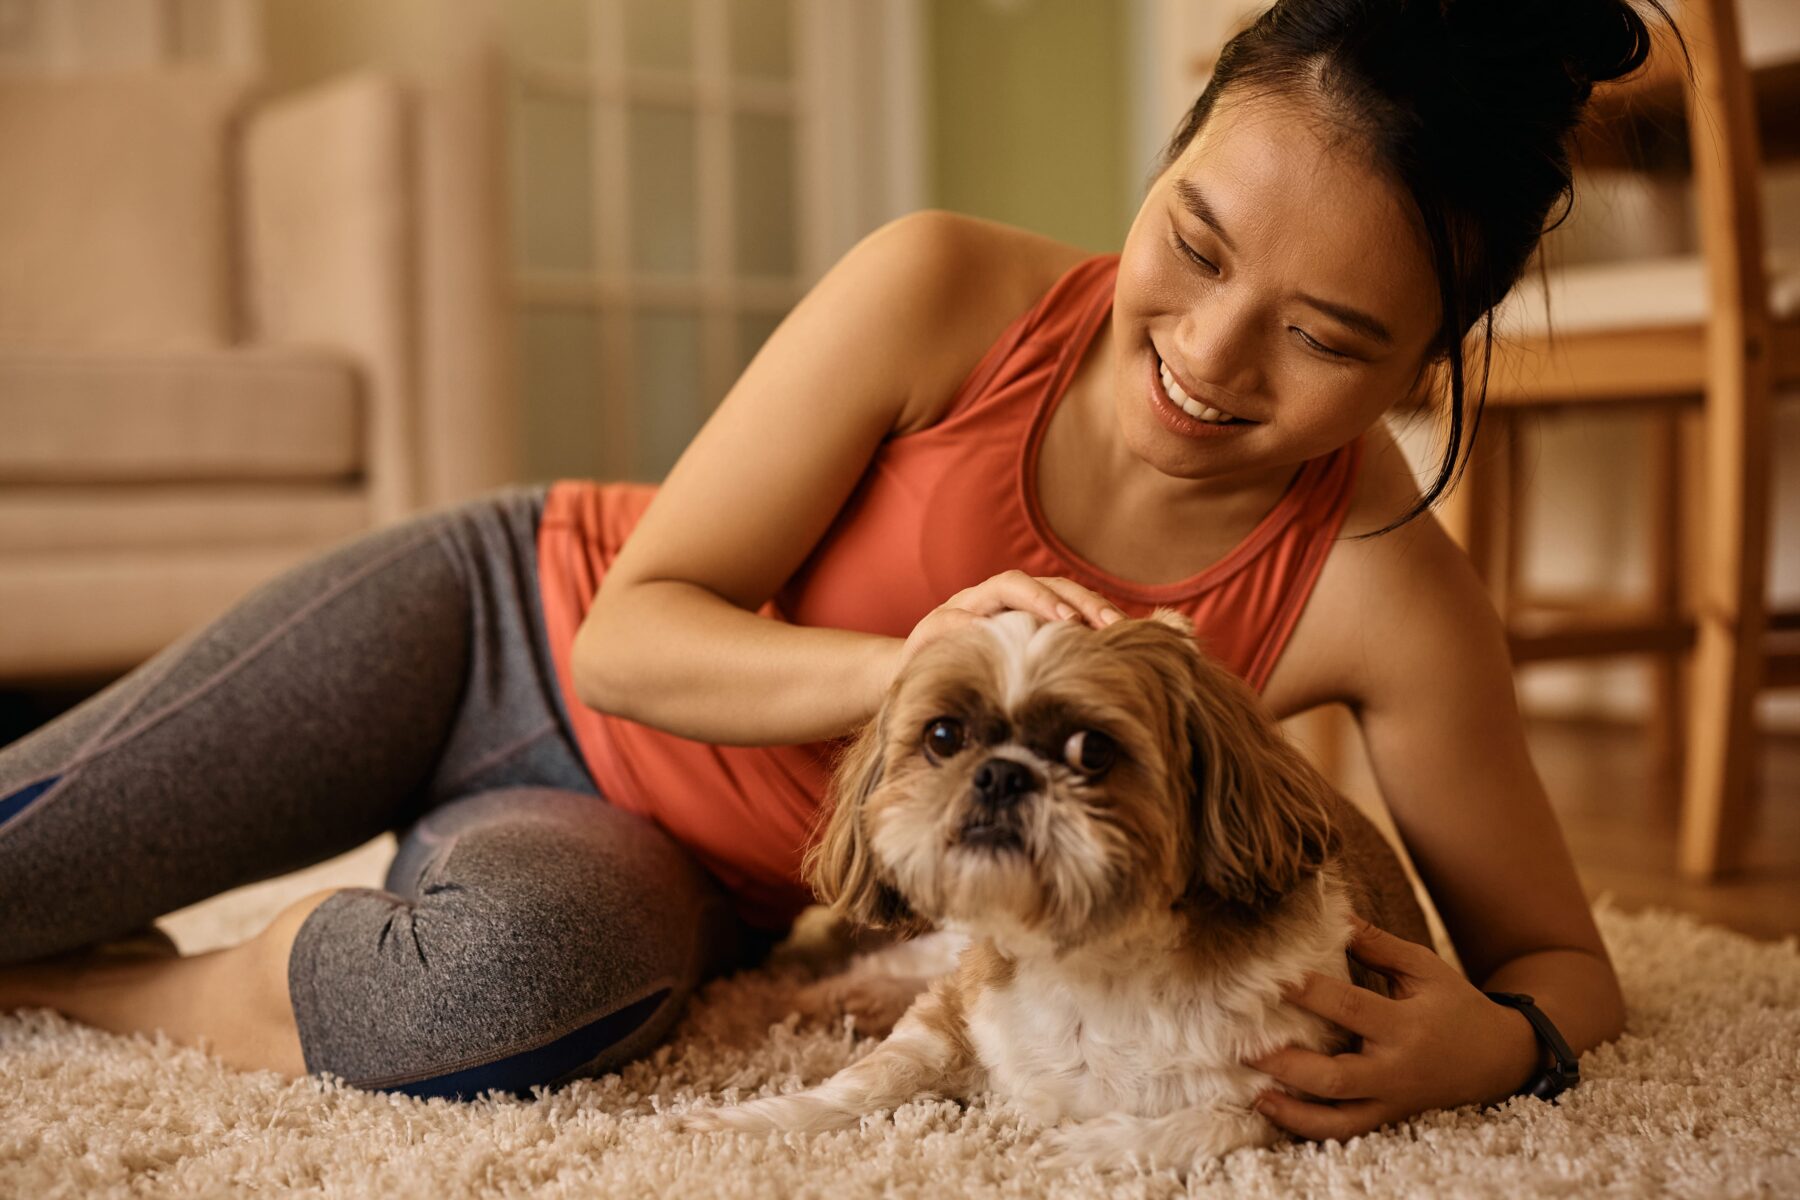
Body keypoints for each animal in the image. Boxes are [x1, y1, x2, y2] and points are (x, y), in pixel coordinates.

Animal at [676, 611, 1432, 1173]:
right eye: (944, 736)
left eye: (1092, 751)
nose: (1001, 774)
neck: (1093, 967)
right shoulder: (958, 1014)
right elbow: (873, 1076)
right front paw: (748, 1121)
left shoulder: (1305, 1092)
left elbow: (1208, 1126)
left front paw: (1071, 1148)